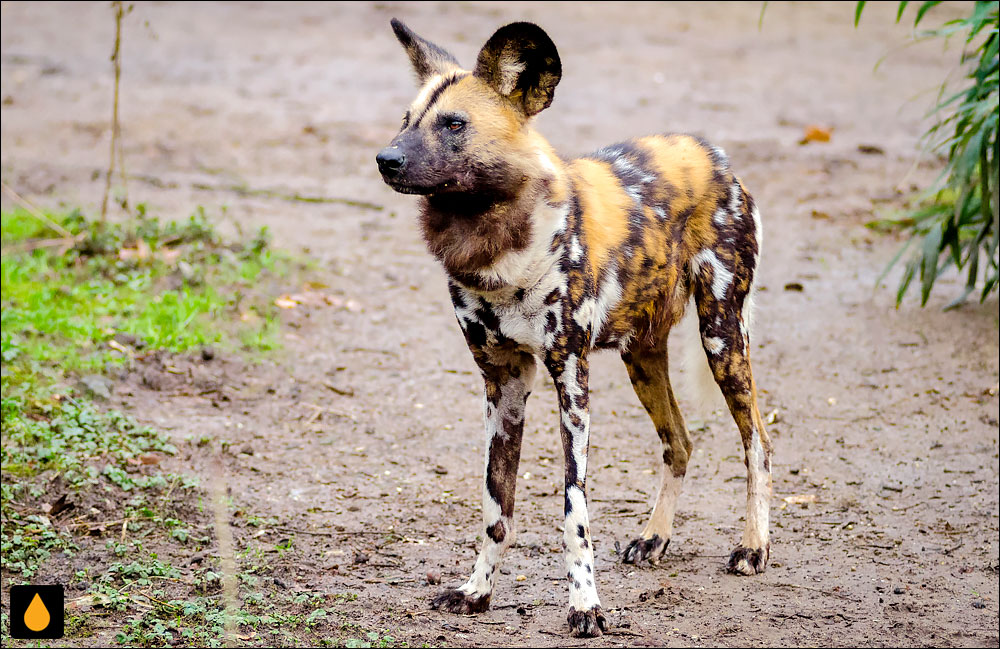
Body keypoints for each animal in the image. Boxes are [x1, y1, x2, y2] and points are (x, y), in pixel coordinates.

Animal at [376, 19, 772, 636]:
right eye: (405, 119)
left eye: (454, 125)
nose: (385, 159)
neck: (497, 248)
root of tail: (714, 154)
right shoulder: (504, 383)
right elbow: (496, 507)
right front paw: (476, 592)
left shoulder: (570, 377)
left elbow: (573, 510)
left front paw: (586, 605)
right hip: (642, 356)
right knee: (678, 441)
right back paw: (654, 538)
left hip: (722, 336)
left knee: (757, 439)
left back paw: (753, 546)